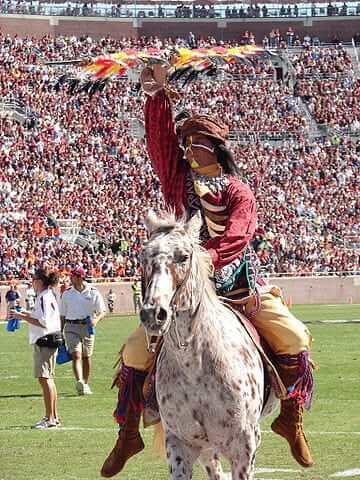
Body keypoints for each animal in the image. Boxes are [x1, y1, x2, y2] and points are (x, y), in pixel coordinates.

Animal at [139, 212, 278, 480]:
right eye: (143, 257)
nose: (153, 314)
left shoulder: (245, 445)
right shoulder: (179, 443)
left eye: (183, 256)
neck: (195, 365)